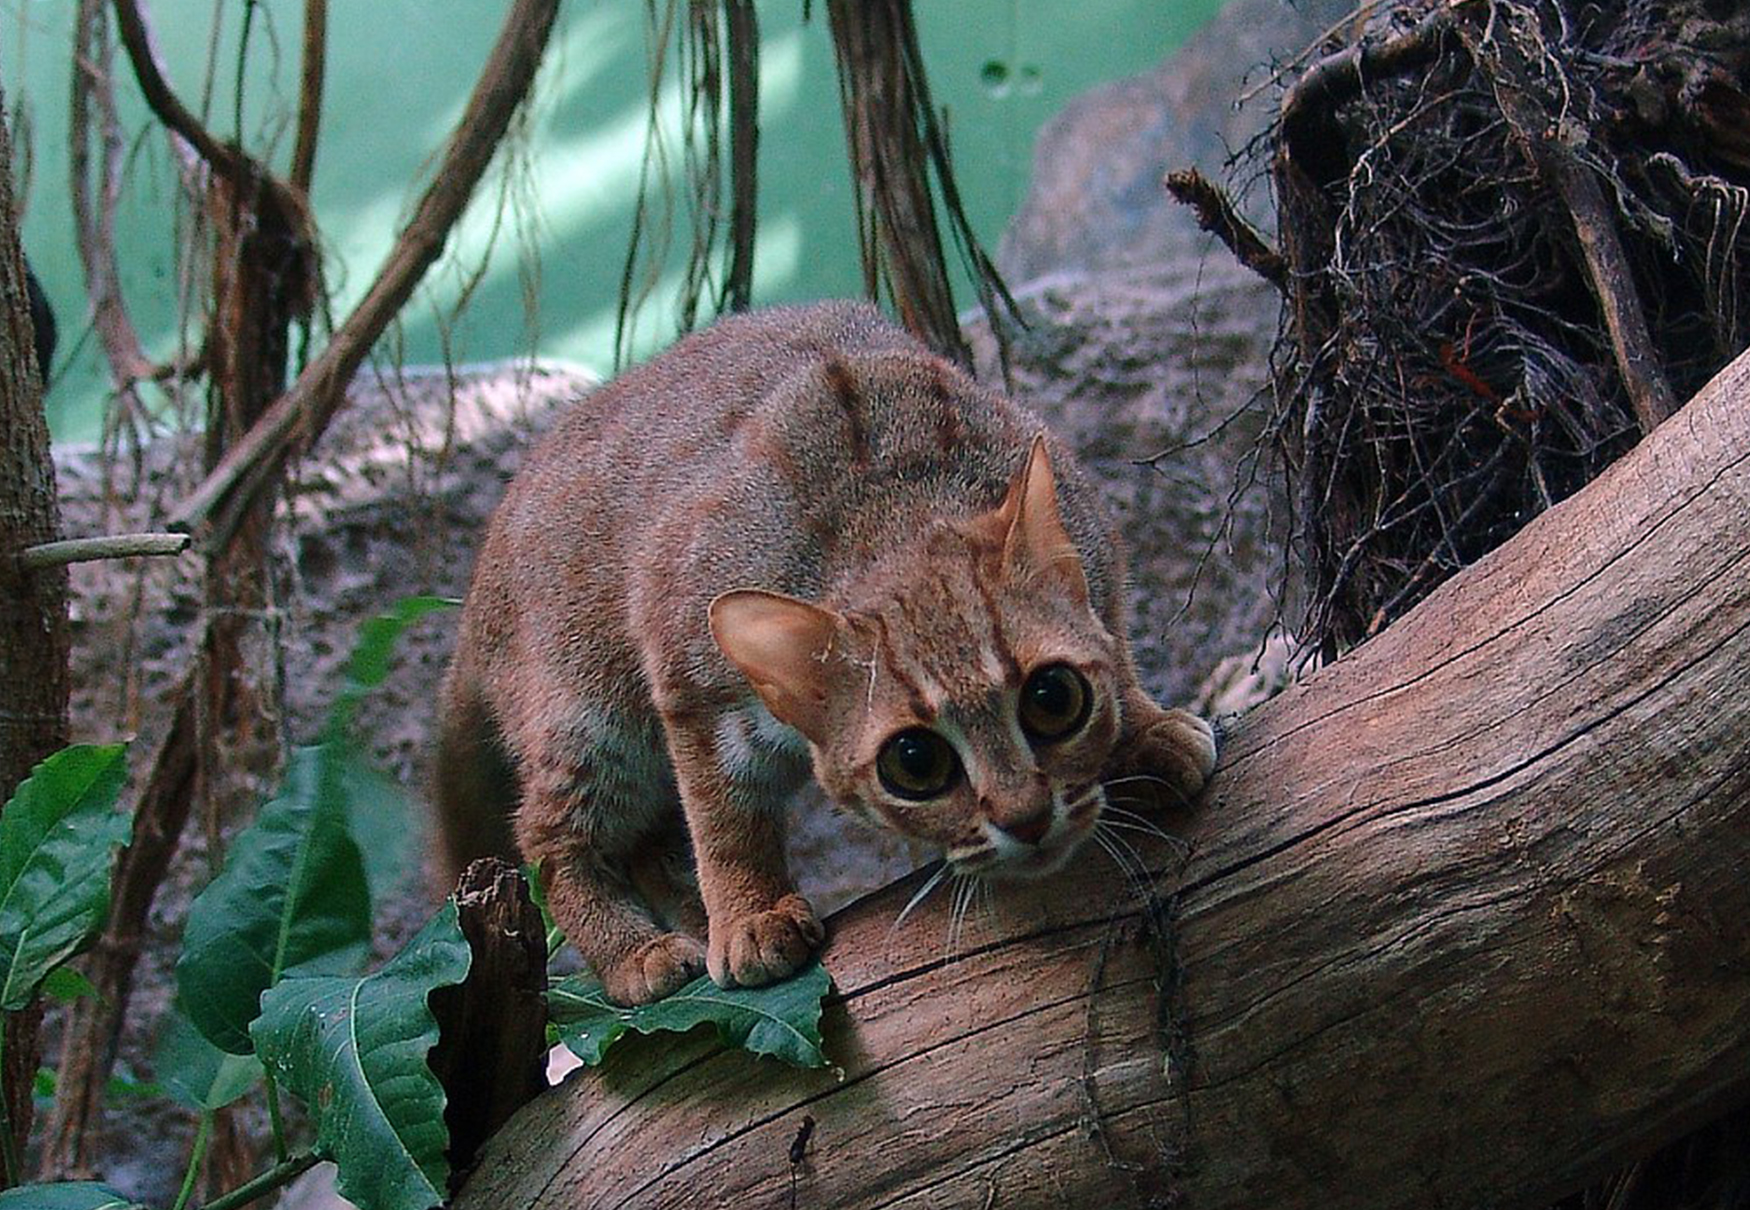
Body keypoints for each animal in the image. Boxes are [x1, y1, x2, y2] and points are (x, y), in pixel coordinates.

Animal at [434, 301, 1218, 1001]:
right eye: (915, 762)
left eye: (1054, 699)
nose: (1026, 819)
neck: (889, 513)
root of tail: (479, 574)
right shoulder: (685, 668)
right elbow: (722, 817)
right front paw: (749, 912)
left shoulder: (1097, 542)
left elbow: (1115, 644)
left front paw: (1146, 730)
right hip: (591, 722)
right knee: (547, 833)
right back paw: (638, 950)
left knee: (651, 842)